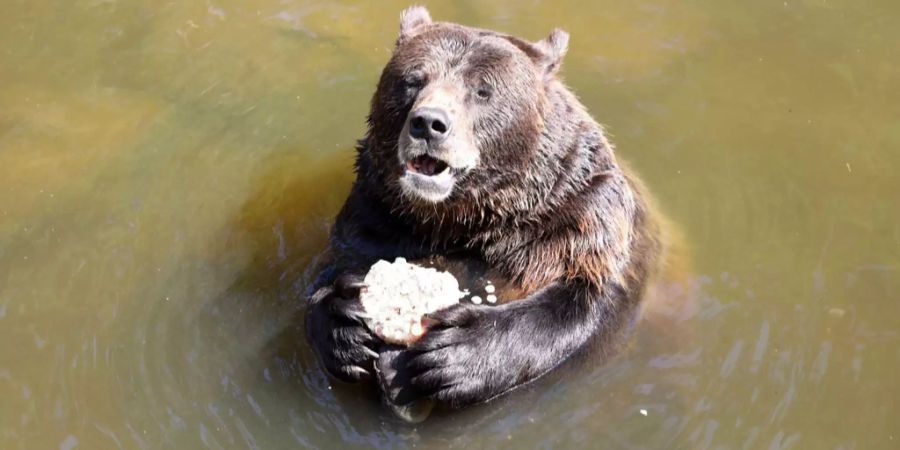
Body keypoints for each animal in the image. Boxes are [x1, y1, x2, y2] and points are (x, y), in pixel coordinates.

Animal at [306, 5, 664, 410]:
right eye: (413, 80)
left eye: (483, 91)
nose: (429, 123)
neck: (469, 217)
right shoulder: (376, 215)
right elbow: (333, 273)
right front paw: (346, 324)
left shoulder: (581, 216)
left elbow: (587, 301)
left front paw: (450, 357)